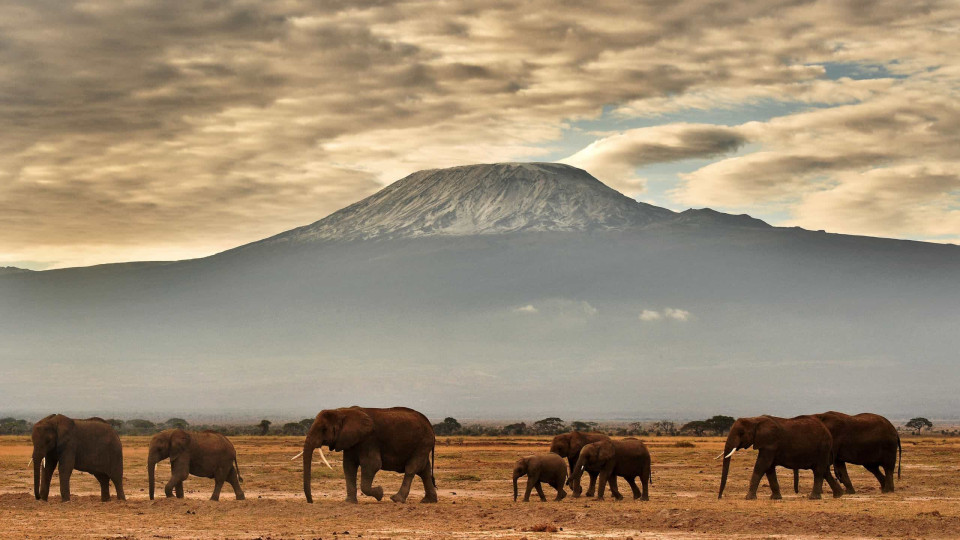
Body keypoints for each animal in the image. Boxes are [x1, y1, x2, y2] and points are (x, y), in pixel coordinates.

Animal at [300, 408, 438, 504]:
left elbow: (372, 465)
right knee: (424, 471)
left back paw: (396, 499)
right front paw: (349, 502)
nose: (311, 501)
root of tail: (430, 425)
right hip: (422, 445)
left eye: (323, 429)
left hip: (423, 443)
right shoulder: (350, 442)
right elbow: (348, 467)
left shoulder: (368, 440)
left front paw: (380, 493)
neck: (341, 411)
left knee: (411, 469)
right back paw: (428, 501)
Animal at [716, 416, 844, 500]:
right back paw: (839, 495)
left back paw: (814, 497)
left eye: (741, 433)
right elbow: (769, 469)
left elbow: (761, 466)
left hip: (823, 447)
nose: (720, 497)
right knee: (825, 471)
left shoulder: (769, 443)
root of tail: (827, 431)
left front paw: (749, 498)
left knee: (818, 471)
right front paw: (775, 498)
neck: (754, 420)